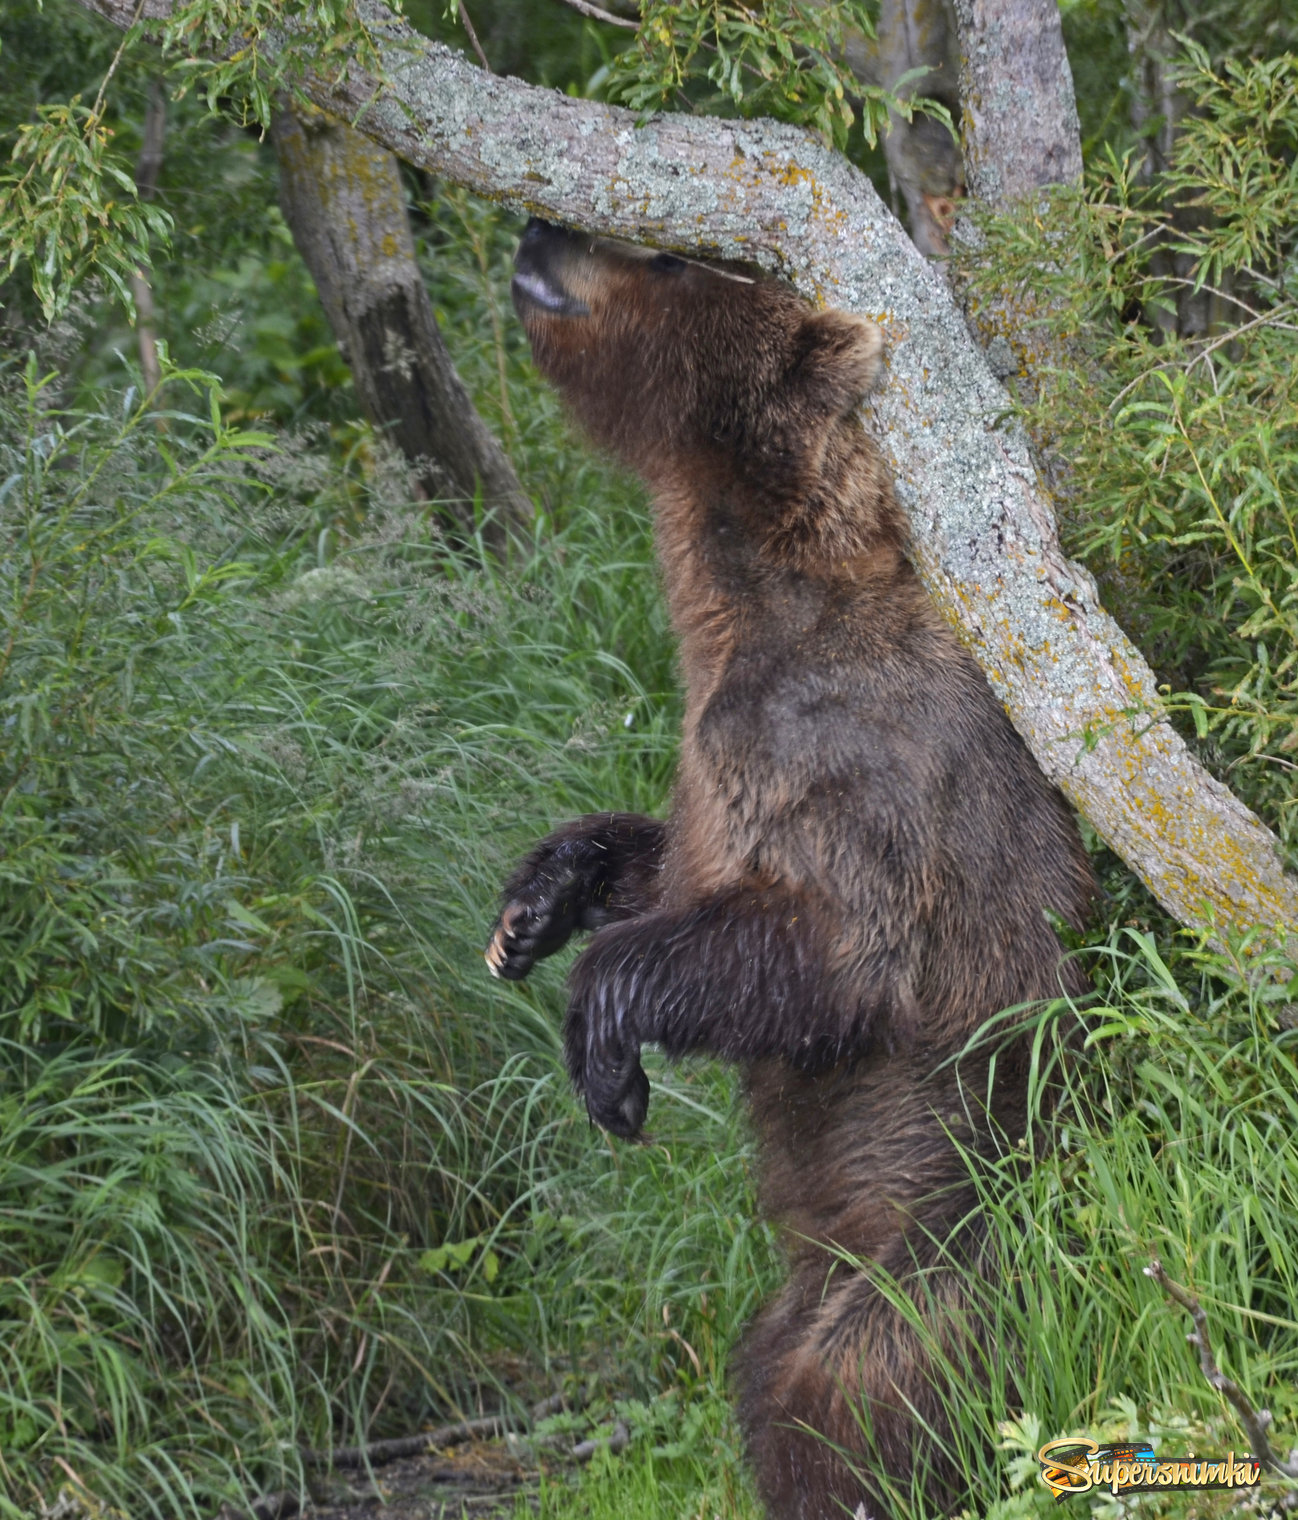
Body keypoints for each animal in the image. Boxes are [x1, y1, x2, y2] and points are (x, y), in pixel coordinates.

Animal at [486, 221, 1100, 1520]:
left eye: (667, 257)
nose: (541, 229)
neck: (751, 597)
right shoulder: (711, 764)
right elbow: (675, 872)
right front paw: (534, 904)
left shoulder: (852, 761)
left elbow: (838, 953)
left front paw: (604, 1059)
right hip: (813, 1278)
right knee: (764, 1367)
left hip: (944, 1233)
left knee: (860, 1383)